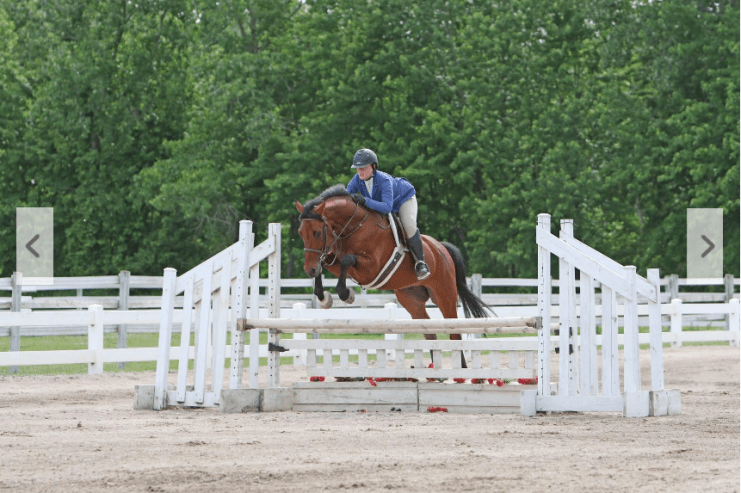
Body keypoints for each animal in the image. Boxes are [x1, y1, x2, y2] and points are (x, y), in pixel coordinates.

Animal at [294, 183, 492, 368]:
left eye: (317, 233)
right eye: (300, 233)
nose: (309, 270)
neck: (354, 226)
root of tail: (441, 248)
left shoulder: (371, 269)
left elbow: (347, 261)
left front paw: (346, 294)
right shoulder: (334, 258)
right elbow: (325, 262)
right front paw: (323, 297)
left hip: (445, 295)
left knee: (454, 330)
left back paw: (461, 369)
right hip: (411, 300)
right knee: (429, 332)